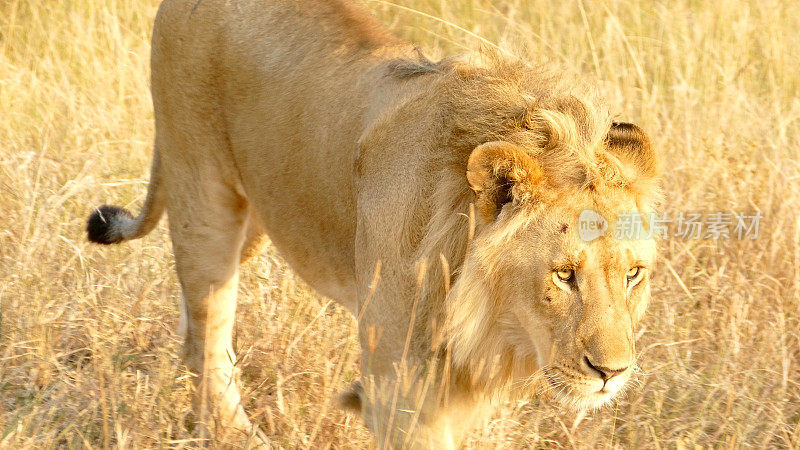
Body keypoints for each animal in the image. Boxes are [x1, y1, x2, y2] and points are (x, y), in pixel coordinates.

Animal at [87, 0, 660, 446]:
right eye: (563, 275)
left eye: (633, 275)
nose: (612, 375)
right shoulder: (398, 385)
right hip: (201, 193)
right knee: (209, 325)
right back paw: (231, 434)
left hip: (256, 218)